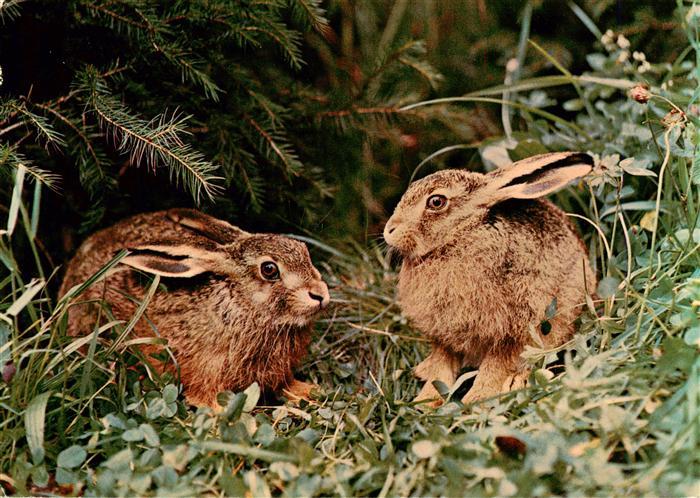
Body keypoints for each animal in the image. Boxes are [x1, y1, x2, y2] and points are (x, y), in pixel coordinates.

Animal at [59, 208, 330, 408]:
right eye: (269, 269)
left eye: (303, 250)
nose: (321, 295)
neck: (241, 302)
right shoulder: (207, 374)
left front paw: (310, 391)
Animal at [383, 152, 596, 406]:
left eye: (436, 202)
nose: (389, 230)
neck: (461, 233)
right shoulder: (445, 335)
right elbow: (443, 367)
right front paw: (425, 402)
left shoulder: (510, 331)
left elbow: (495, 367)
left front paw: (477, 399)